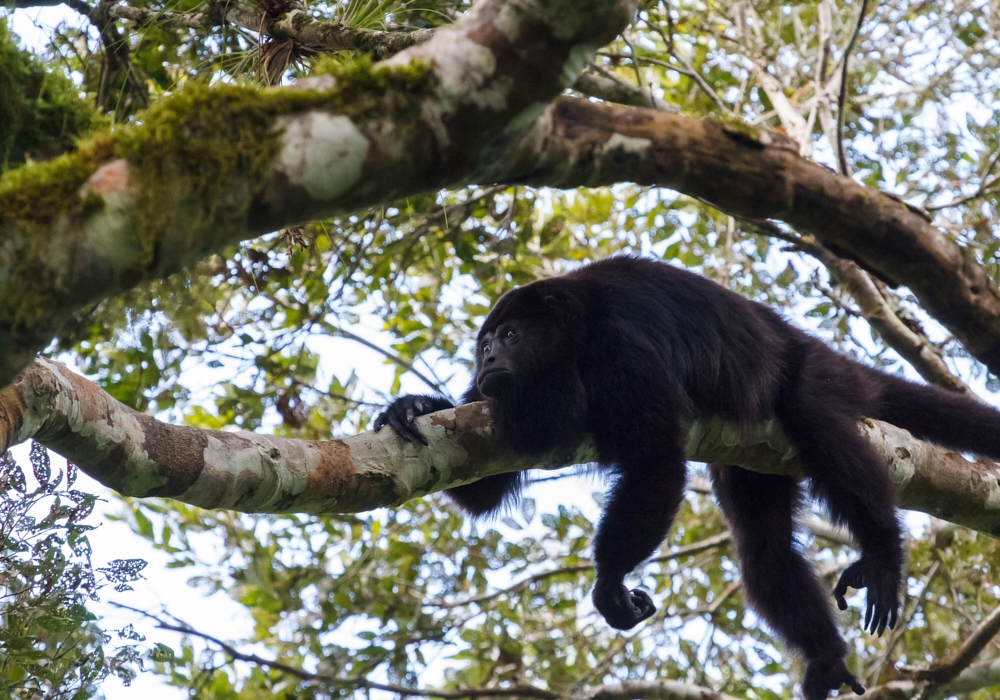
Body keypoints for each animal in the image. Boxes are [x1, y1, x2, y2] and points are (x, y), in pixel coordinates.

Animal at [372, 258, 1000, 700]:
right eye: (483, 344)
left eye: (509, 336)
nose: (486, 360)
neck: (574, 339)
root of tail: (800, 338)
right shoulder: (491, 410)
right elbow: (482, 487)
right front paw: (412, 407)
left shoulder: (622, 348)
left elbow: (656, 461)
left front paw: (609, 582)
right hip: (753, 454)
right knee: (764, 550)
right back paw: (824, 655)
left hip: (808, 376)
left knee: (817, 420)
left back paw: (885, 554)